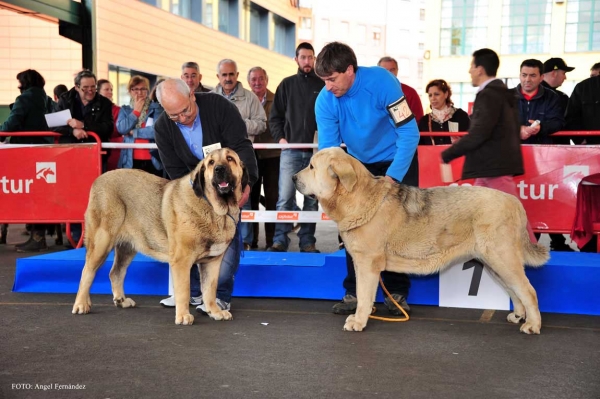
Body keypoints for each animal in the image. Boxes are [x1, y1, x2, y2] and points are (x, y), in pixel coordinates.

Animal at [72, 148, 248, 326]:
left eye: (230, 159)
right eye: (211, 162)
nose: (219, 169)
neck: (214, 208)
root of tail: (99, 179)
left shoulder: (212, 262)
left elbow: (210, 290)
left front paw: (215, 311)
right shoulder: (182, 261)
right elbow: (184, 290)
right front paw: (183, 316)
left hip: (127, 248)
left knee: (115, 272)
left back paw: (121, 300)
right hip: (101, 242)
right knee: (87, 272)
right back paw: (81, 304)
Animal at [292, 147, 552, 334]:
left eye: (312, 166)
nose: (294, 178)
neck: (356, 197)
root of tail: (514, 202)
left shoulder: (368, 264)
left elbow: (364, 296)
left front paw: (358, 321)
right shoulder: (359, 263)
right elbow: (359, 292)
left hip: (502, 258)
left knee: (528, 290)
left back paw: (533, 325)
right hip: (493, 263)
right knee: (514, 290)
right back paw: (518, 314)